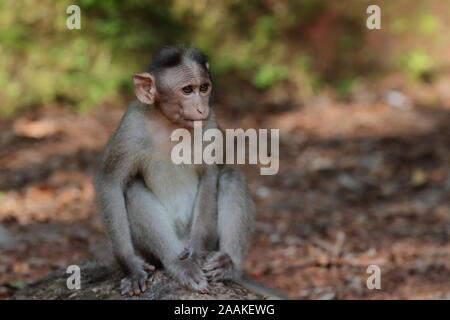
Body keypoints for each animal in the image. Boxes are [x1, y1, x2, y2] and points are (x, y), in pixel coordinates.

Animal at [94, 46, 286, 298]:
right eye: (187, 90)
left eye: (203, 88)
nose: (201, 107)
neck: (170, 124)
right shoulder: (131, 126)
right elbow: (111, 182)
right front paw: (130, 266)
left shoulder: (211, 124)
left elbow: (210, 176)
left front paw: (197, 252)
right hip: (157, 248)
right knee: (133, 189)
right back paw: (179, 265)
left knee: (231, 177)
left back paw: (228, 266)